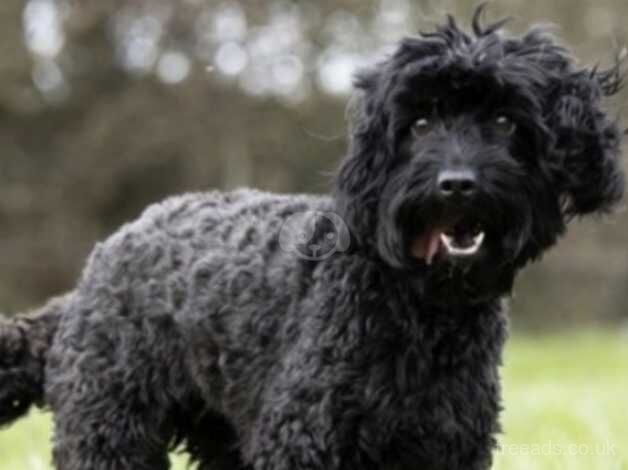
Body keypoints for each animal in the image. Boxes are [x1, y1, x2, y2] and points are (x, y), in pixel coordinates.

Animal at [0, 8, 624, 470]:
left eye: (503, 120)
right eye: (420, 124)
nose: (456, 184)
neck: (420, 310)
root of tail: (92, 273)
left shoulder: (447, 447)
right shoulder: (305, 440)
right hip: (109, 432)